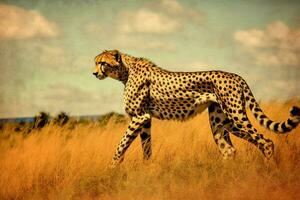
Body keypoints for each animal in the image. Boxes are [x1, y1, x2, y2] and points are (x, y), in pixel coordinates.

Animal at [93, 49, 300, 166]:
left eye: (102, 63)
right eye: (95, 62)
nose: (94, 73)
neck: (125, 71)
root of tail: (237, 75)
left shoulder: (139, 117)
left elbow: (121, 144)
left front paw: (112, 167)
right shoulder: (145, 119)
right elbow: (146, 147)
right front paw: (147, 169)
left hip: (236, 116)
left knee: (265, 141)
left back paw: (268, 169)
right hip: (222, 121)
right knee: (229, 149)